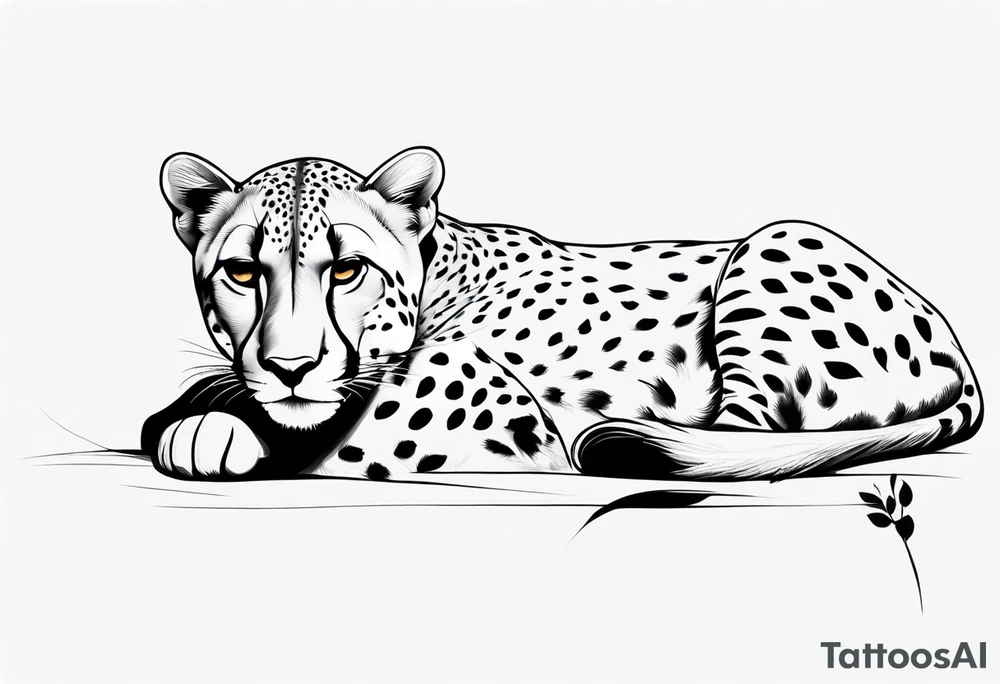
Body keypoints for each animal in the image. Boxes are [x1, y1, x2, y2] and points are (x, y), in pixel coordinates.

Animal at [142, 147, 983, 482]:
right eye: (243, 272)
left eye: (347, 270)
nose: (290, 369)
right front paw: (195, 416)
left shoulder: (497, 414)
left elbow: (339, 438)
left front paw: (221, 431)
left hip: (776, 242)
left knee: (742, 437)